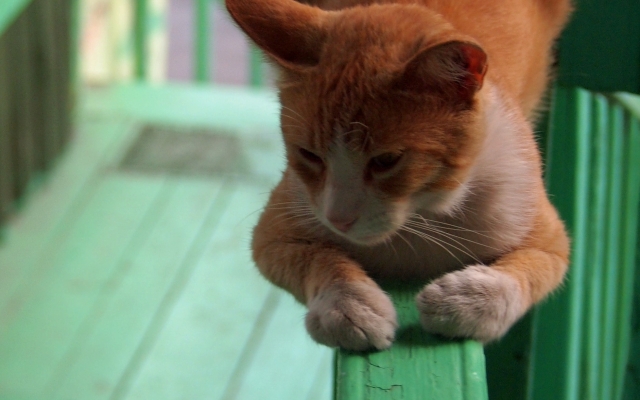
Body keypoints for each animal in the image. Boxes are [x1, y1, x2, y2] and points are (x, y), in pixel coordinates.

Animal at [225, 0, 568, 348]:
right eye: (309, 155)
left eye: (387, 160)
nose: (338, 220)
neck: (419, 218)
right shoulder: (276, 230)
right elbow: (317, 259)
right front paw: (347, 304)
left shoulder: (539, 225)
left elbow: (530, 268)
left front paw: (470, 299)